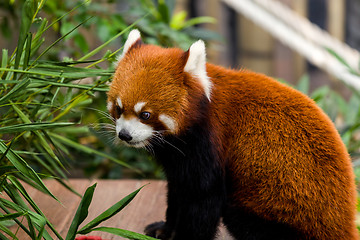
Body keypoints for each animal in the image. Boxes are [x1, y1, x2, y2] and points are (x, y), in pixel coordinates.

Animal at [106, 30, 358, 240]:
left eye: (145, 114)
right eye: (118, 108)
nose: (125, 135)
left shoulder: (209, 142)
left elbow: (203, 197)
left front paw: (186, 237)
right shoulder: (178, 157)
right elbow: (177, 191)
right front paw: (165, 229)